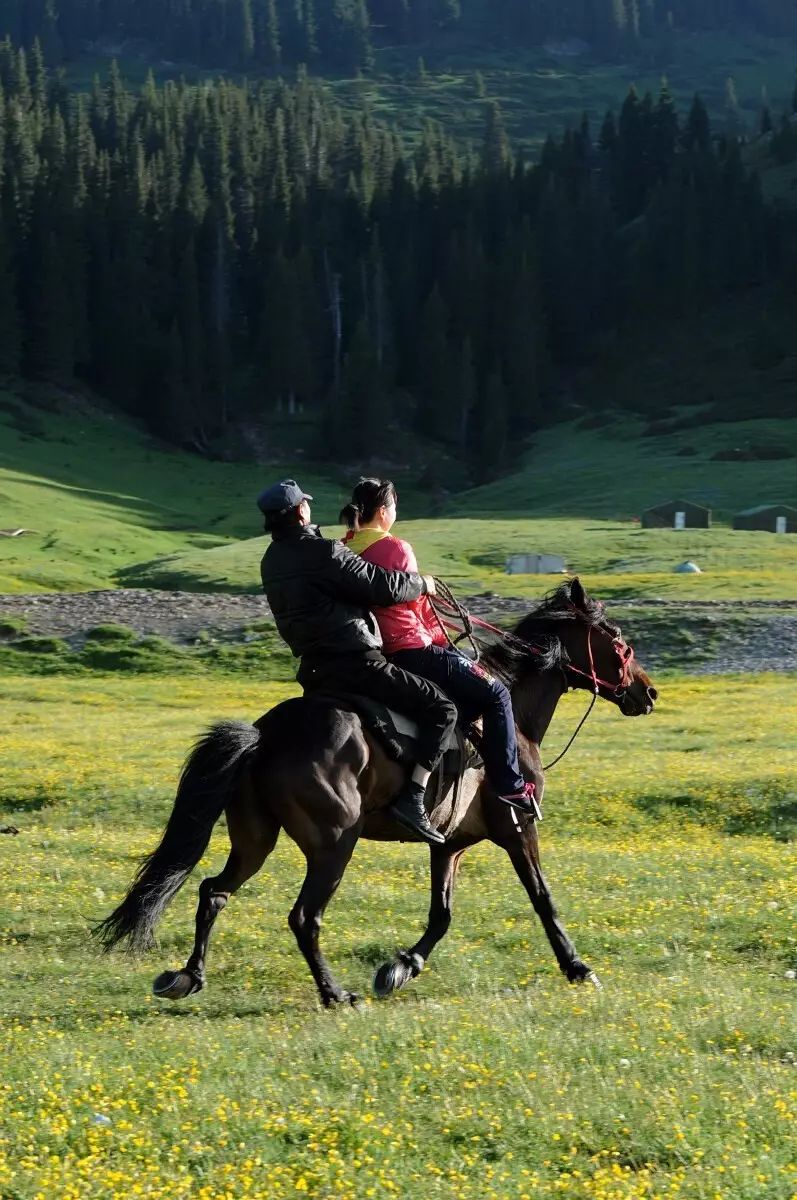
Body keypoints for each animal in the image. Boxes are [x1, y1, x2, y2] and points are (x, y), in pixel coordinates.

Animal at [97, 578, 657, 1003]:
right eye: (619, 640)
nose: (648, 692)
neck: (510, 717)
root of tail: (266, 735)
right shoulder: (517, 827)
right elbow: (543, 899)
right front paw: (578, 967)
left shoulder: (449, 844)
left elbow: (442, 914)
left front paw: (401, 967)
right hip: (334, 845)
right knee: (304, 917)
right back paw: (333, 994)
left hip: (255, 840)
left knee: (213, 892)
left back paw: (188, 976)